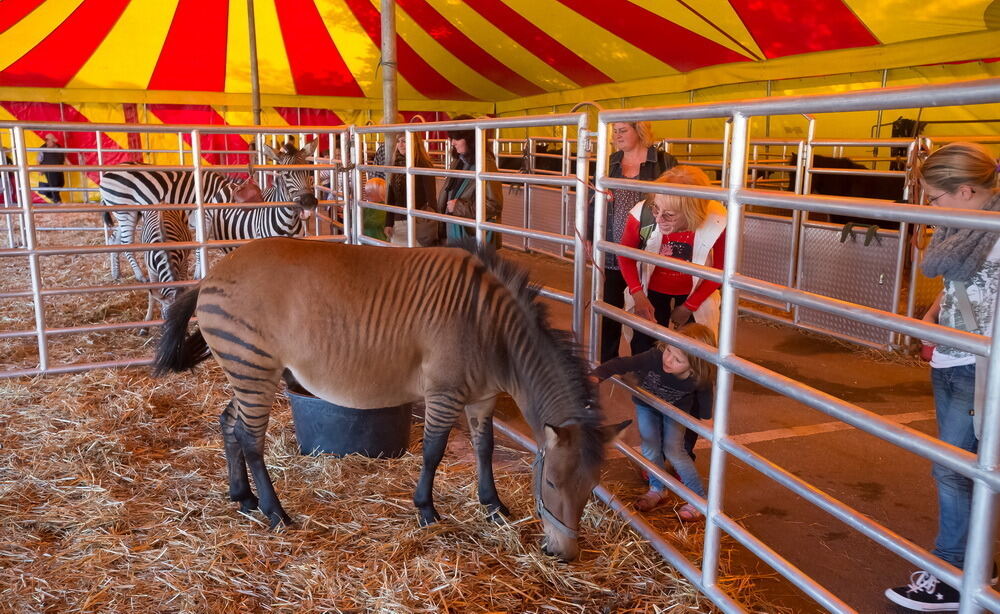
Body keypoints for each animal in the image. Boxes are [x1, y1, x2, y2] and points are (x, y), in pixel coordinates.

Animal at [154, 237, 624, 564]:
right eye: (551, 484)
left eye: (590, 490)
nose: (565, 555)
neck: (492, 331)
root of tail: (211, 274)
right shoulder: (443, 393)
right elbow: (433, 451)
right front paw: (427, 510)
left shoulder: (482, 398)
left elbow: (485, 448)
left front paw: (492, 505)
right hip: (253, 369)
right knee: (251, 440)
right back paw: (274, 512)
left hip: (246, 374)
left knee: (229, 425)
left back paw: (243, 498)